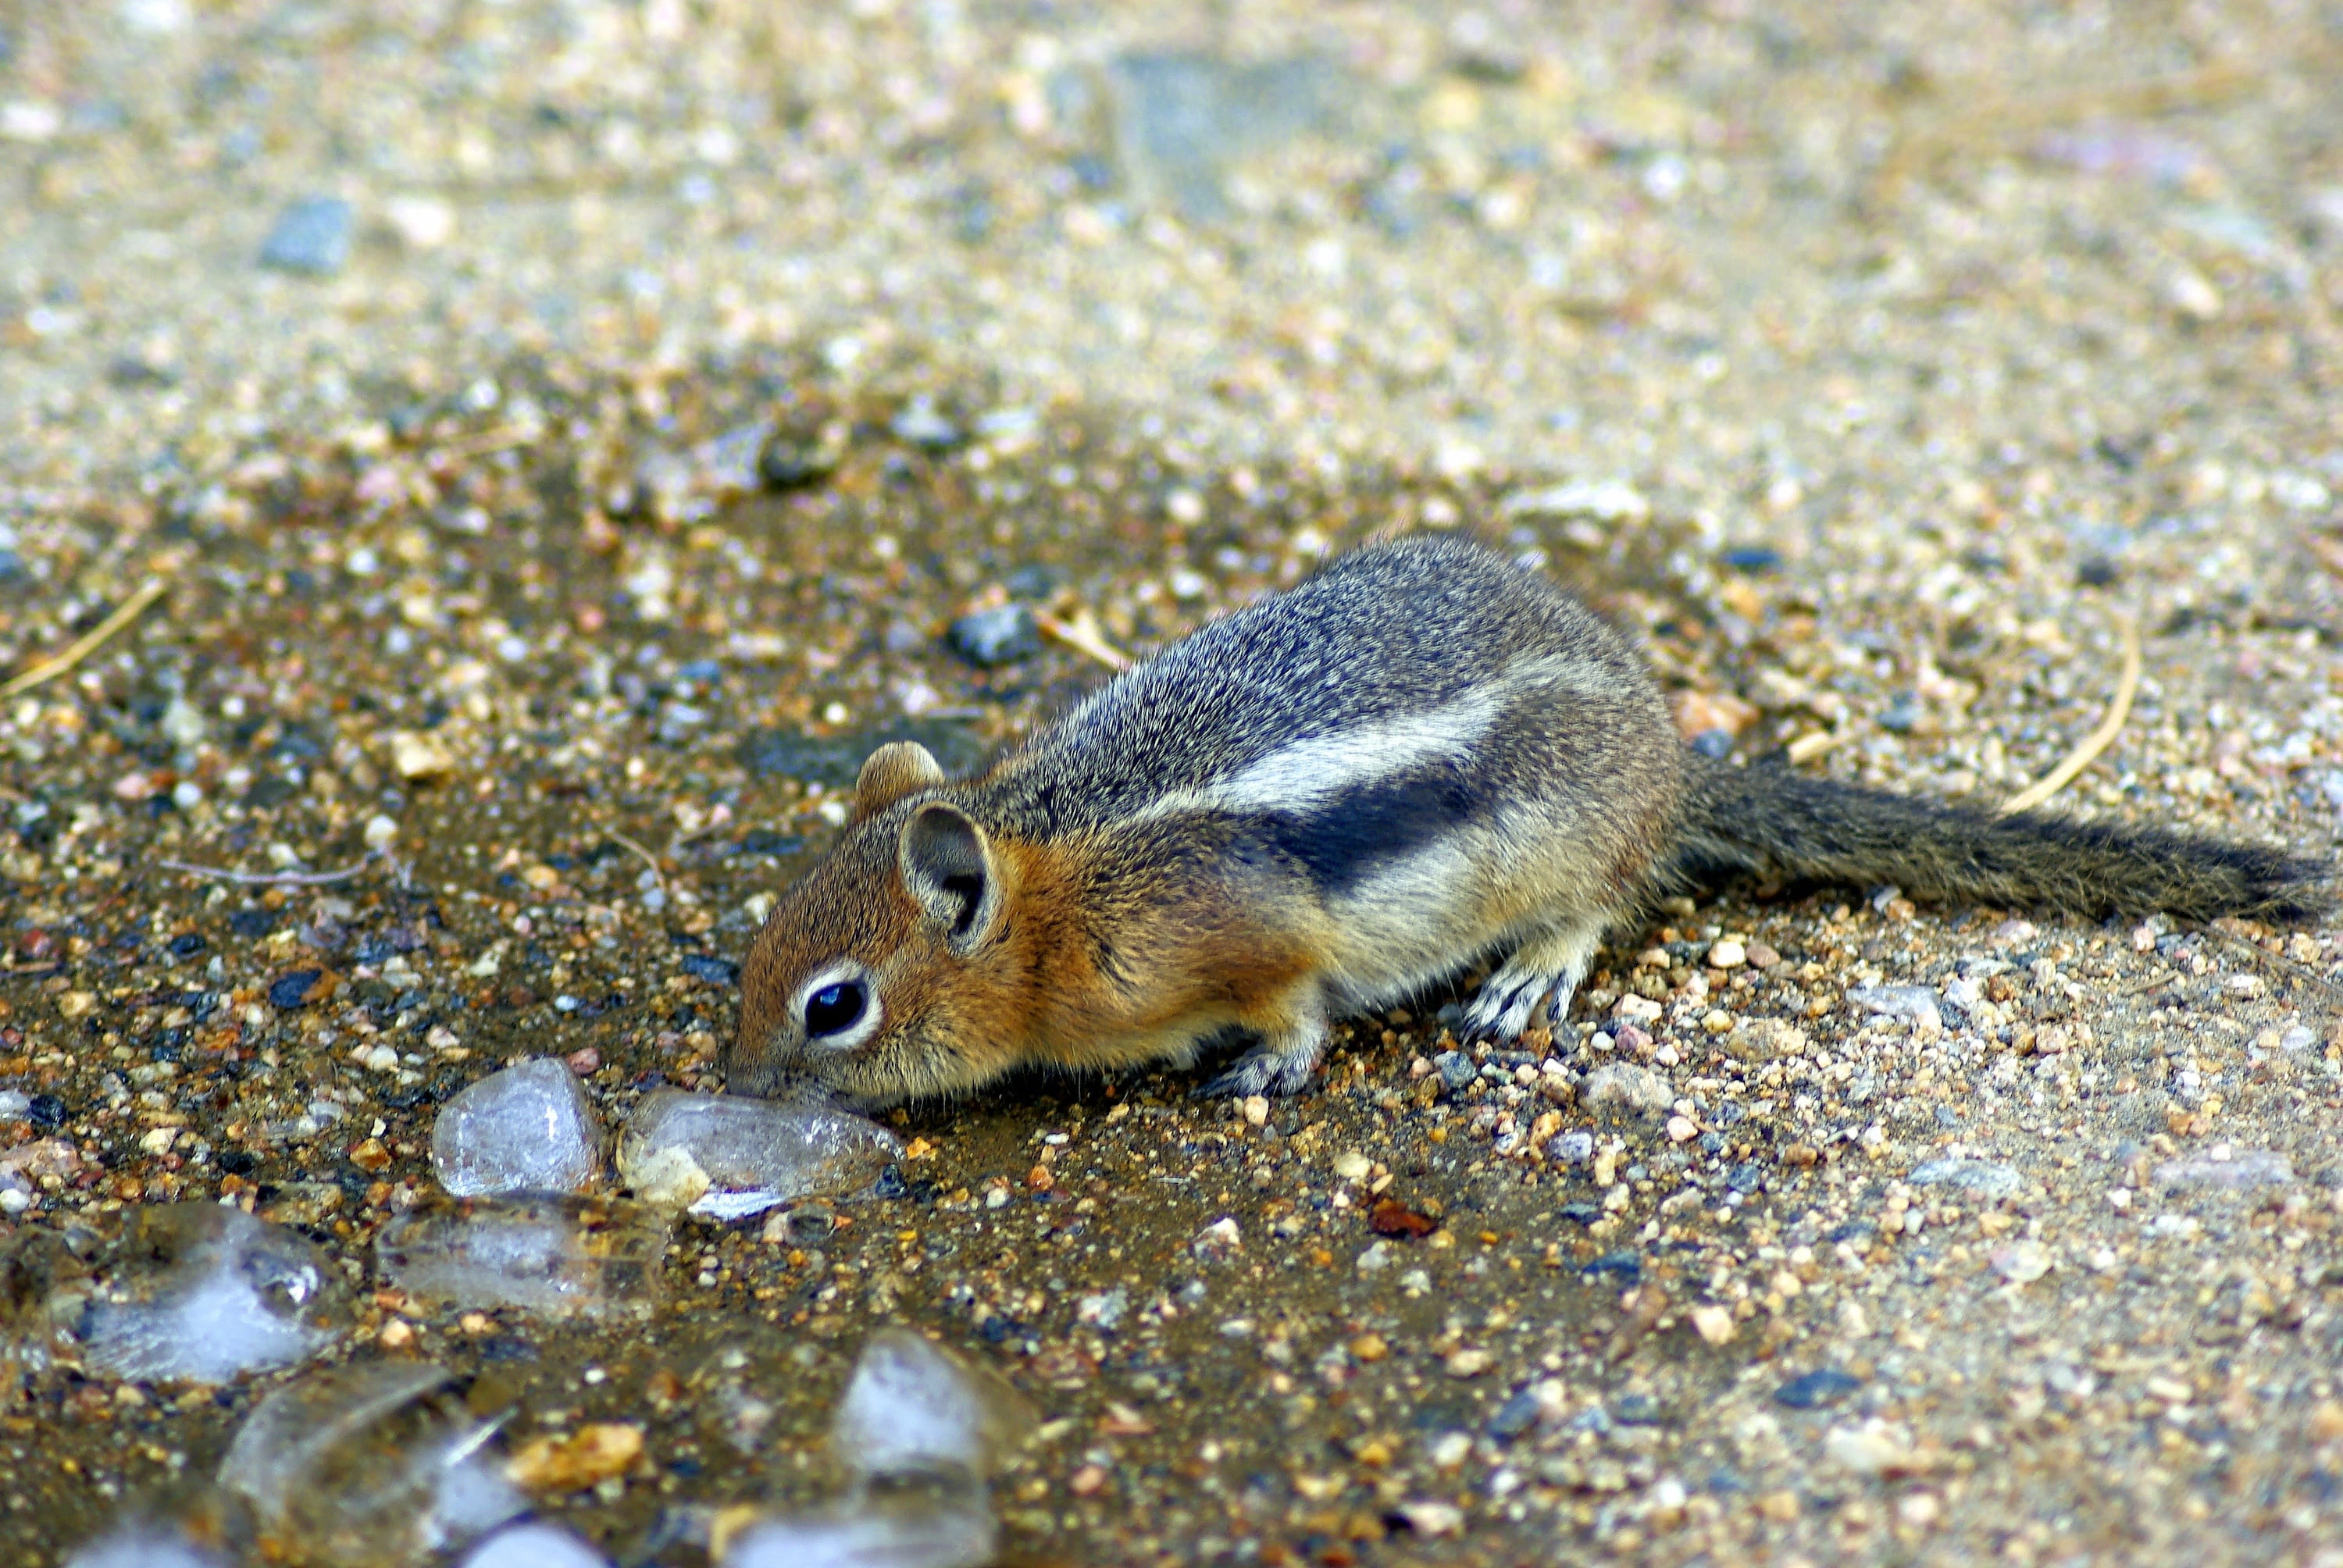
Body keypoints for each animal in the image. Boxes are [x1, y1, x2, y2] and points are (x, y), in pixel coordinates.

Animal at [726, 534, 2327, 1106]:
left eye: (832, 1005)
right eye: (756, 954)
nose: (733, 1080)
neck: (1056, 893)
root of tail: (1669, 758)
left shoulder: (1234, 933)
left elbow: (1293, 999)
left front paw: (1269, 1064)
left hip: (1558, 847)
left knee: (1602, 900)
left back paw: (1530, 974)